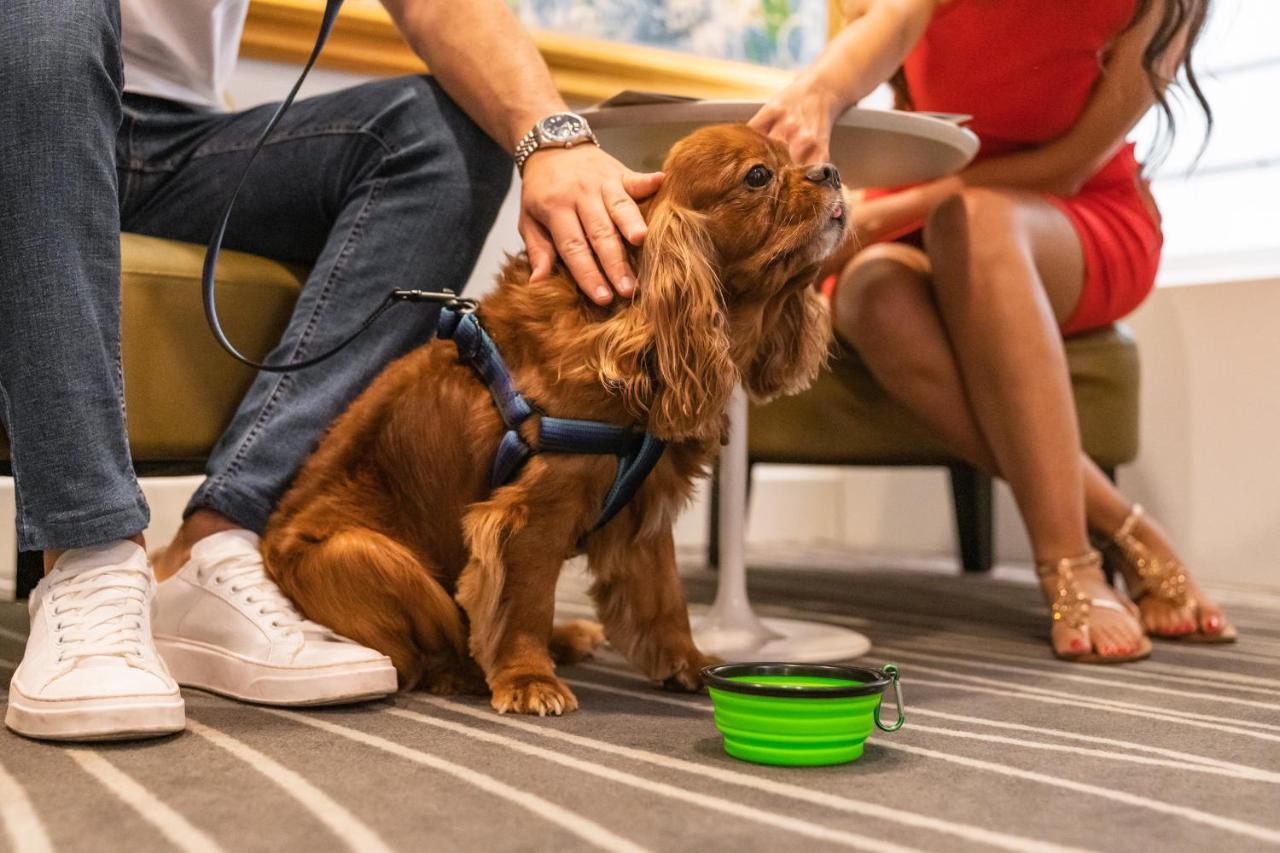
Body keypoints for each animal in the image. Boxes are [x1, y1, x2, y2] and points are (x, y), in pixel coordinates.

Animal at [258, 124, 844, 712]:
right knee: (430, 653)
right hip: (375, 557)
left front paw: (689, 663)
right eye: (758, 176)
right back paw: (476, 669)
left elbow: (665, 599)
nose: (831, 171)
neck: (631, 330)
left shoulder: (646, 508)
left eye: (797, 158)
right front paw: (527, 679)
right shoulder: (533, 514)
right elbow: (524, 603)